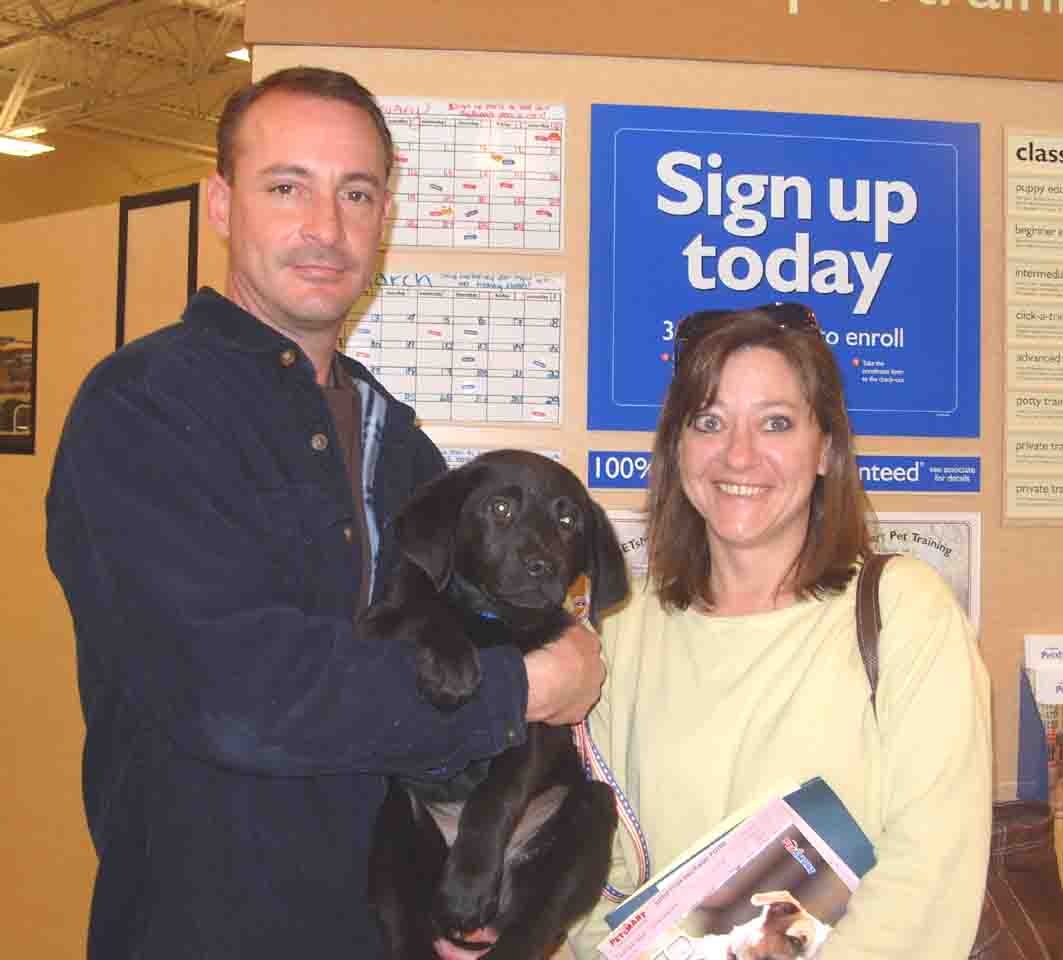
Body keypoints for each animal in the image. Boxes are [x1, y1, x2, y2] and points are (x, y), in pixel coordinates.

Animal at [367, 449, 629, 960]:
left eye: (568, 519)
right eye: (500, 509)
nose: (541, 565)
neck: (491, 619)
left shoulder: (536, 714)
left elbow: (496, 795)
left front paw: (467, 889)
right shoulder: (372, 625)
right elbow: (420, 610)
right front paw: (451, 663)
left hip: (590, 811)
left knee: (536, 921)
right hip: (393, 828)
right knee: (403, 924)